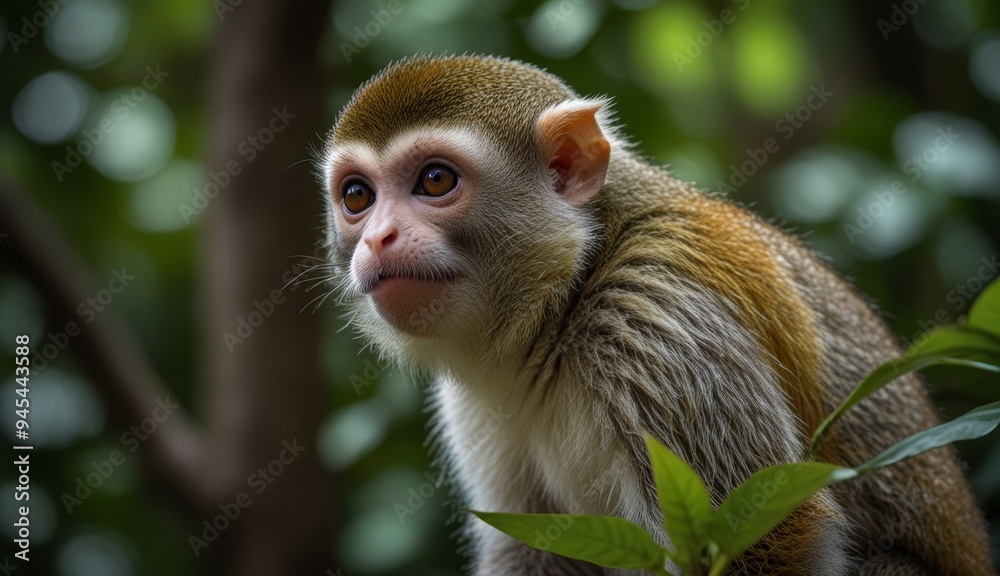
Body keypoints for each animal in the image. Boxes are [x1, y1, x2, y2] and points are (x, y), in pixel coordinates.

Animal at [318, 55, 994, 575]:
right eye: (357, 197)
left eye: (435, 180)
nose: (377, 237)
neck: (565, 303)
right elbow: (533, 547)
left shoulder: (654, 318)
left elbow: (765, 539)